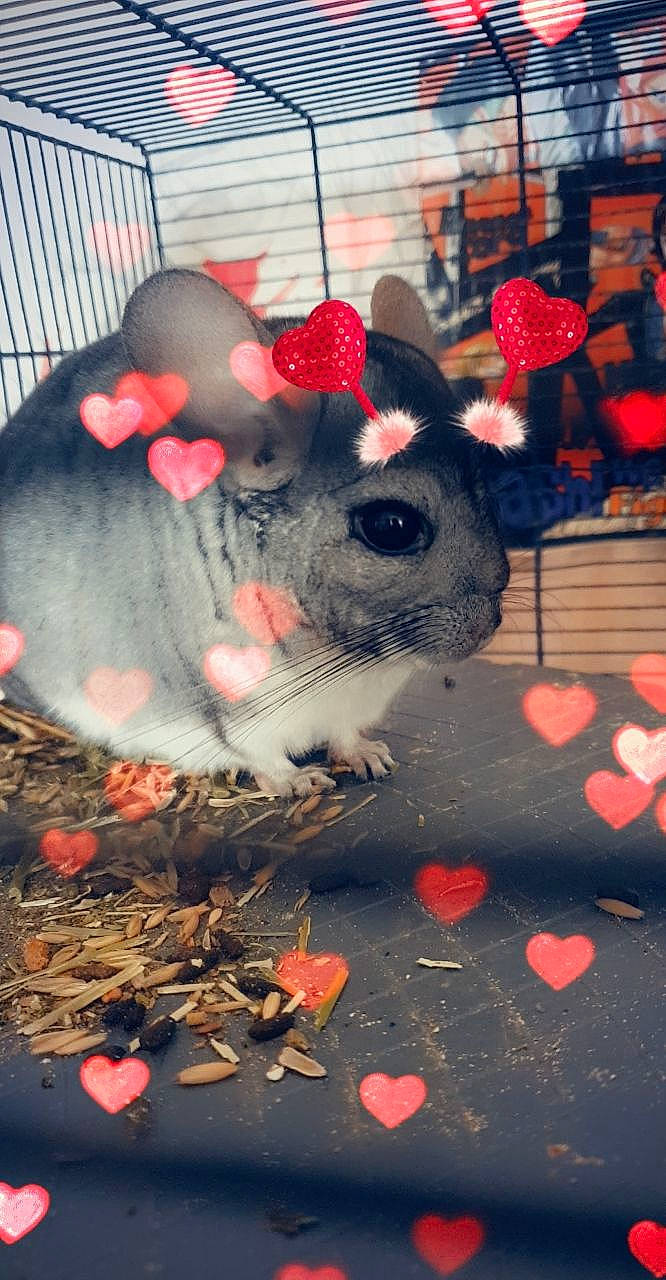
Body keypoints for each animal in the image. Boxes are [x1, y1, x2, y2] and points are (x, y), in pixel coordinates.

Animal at [0, 269, 509, 797]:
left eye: (486, 488)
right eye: (391, 527)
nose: (487, 628)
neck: (347, 661)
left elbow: (345, 735)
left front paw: (369, 756)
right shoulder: (231, 710)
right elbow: (261, 756)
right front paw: (301, 781)